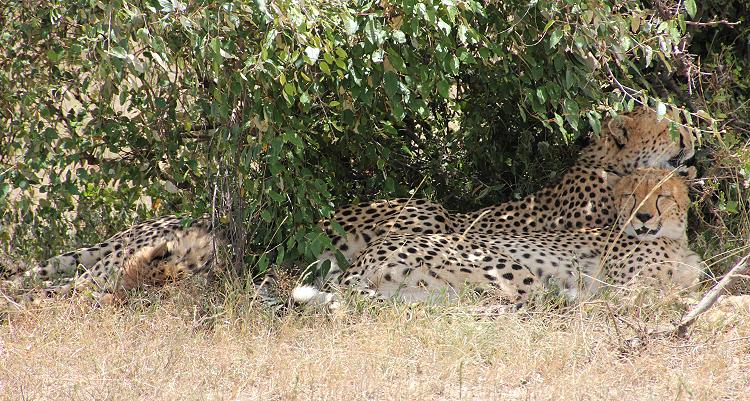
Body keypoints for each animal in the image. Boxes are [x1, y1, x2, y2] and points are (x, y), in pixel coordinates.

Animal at [294, 167, 704, 304]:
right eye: (632, 195)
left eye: (662, 195)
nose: (642, 217)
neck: (673, 239)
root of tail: (360, 263)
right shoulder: (628, 286)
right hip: (504, 267)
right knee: (524, 304)